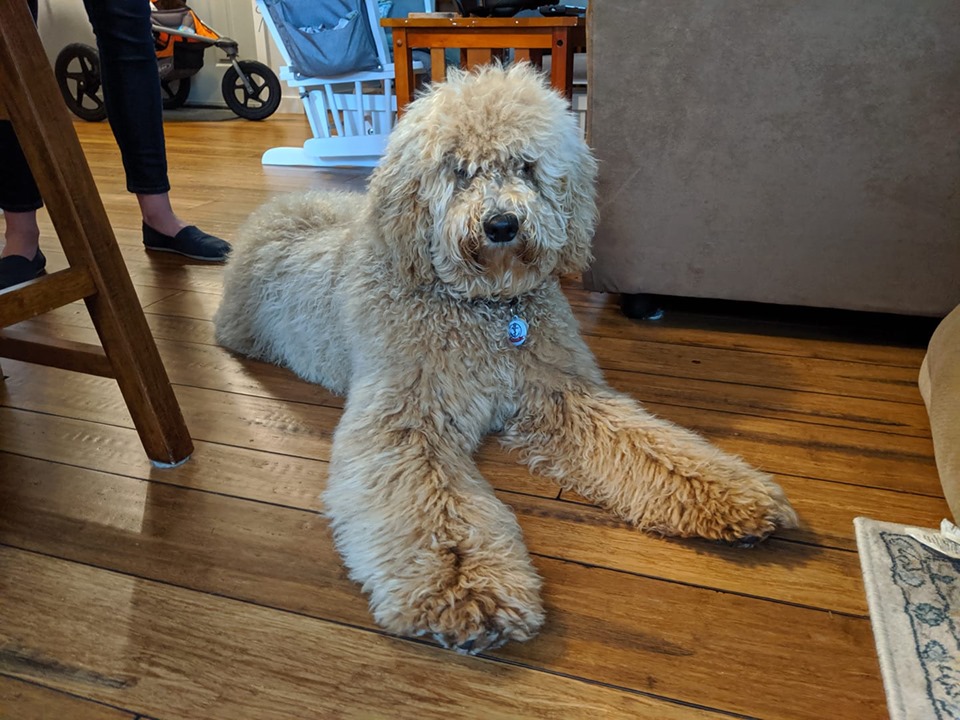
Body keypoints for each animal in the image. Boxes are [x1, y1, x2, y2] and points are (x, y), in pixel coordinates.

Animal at [214, 64, 798, 654]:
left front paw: (725, 491)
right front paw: (464, 587)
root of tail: (276, 210)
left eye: (526, 165)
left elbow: (653, 445)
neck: (489, 309)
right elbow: (435, 511)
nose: (501, 225)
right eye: (459, 171)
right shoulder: (405, 421)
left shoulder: (559, 392)